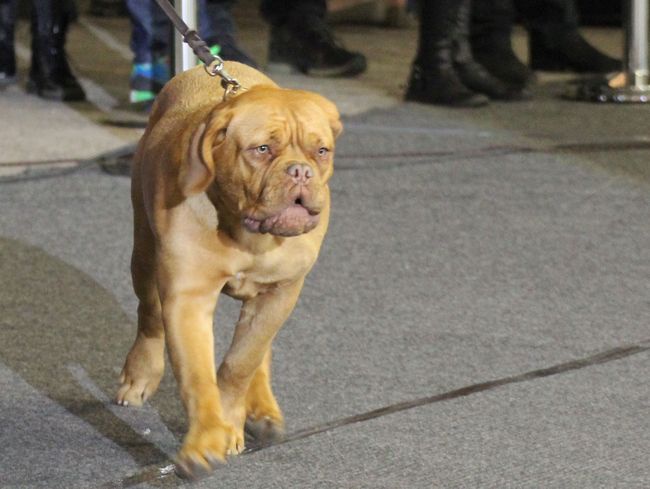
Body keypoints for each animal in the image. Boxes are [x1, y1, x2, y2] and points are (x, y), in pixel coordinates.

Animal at [114, 62, 342, 476]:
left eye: (321, 151)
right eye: (262, 149)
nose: (300, 171)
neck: (248, 235)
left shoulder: (281, 291)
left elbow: (241, 363)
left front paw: (231, 419)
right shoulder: (187, 298)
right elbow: (198, 377)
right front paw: (207, 439)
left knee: (258, 349)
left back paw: (262, 409)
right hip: (143, 252)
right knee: (149, 315)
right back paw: (139, 375)